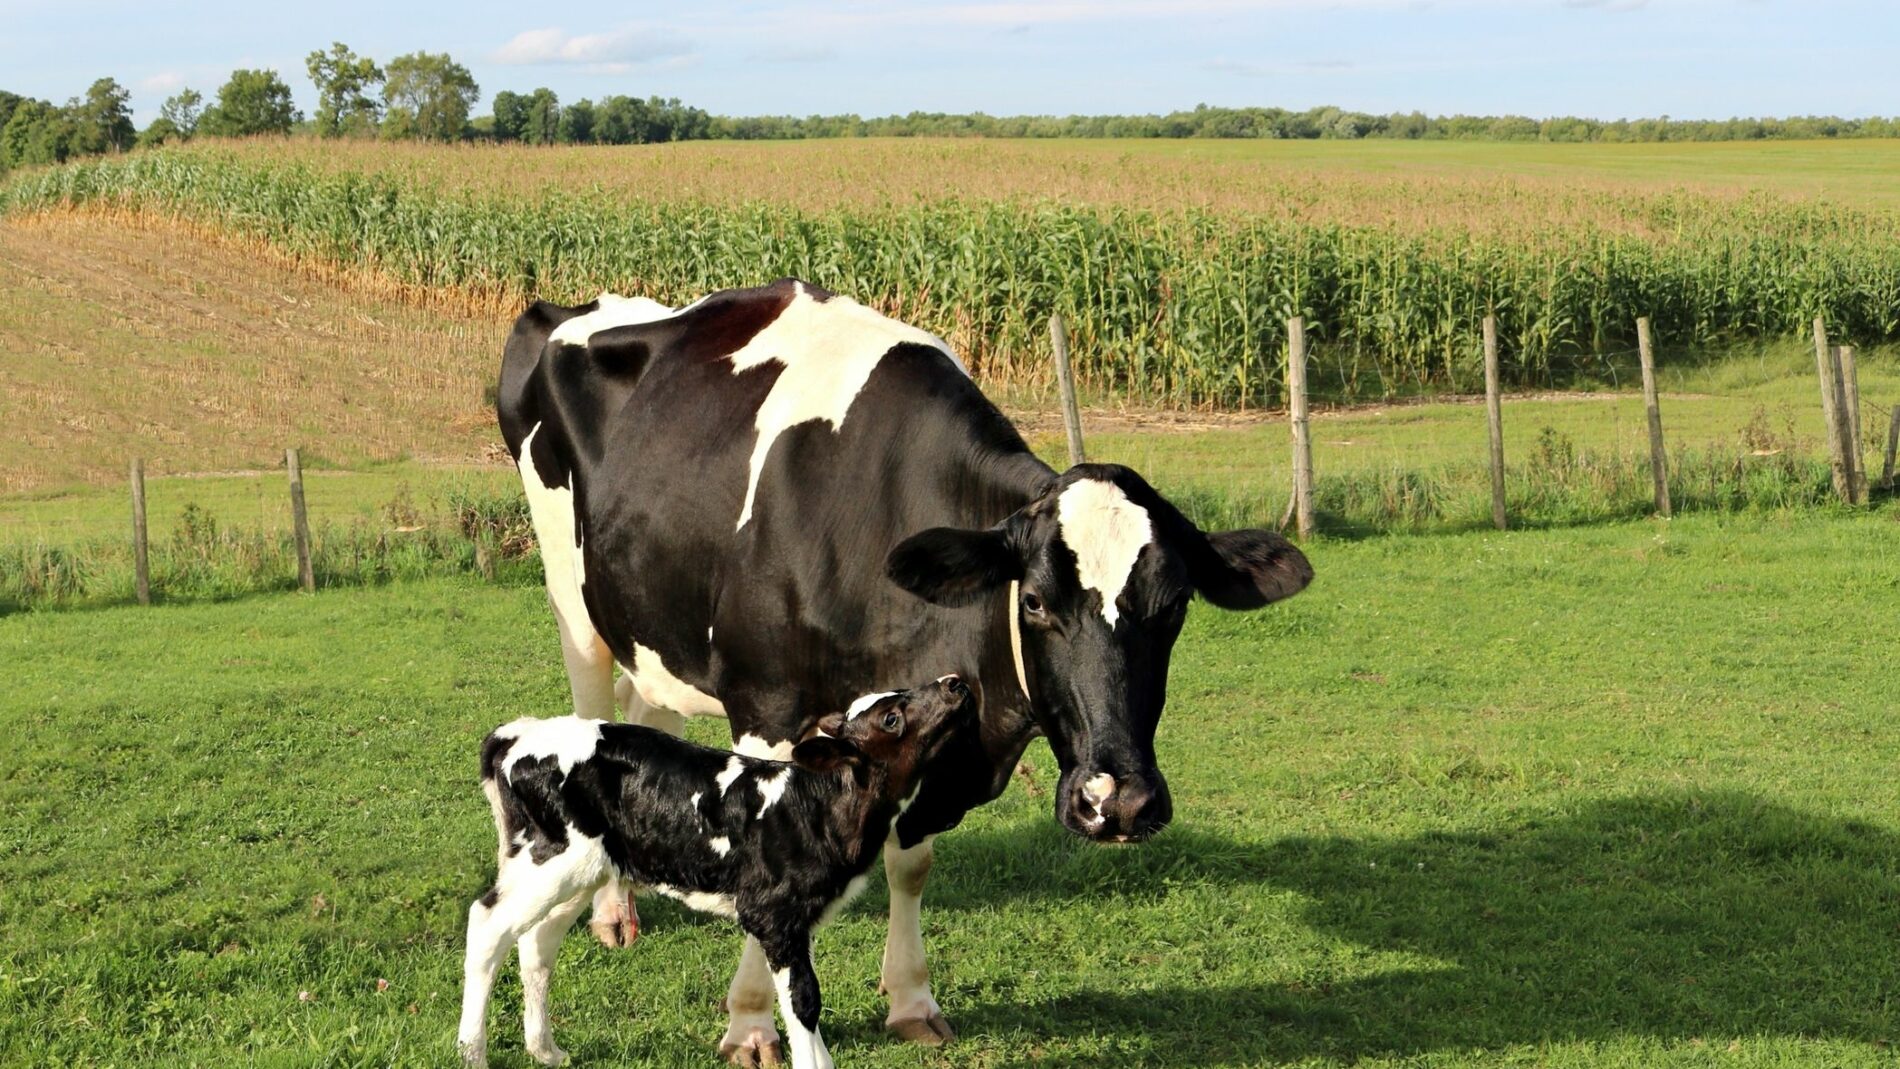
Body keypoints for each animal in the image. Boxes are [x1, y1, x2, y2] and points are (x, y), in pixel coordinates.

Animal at [458, 677, 975, 1069]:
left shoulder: (799, 919)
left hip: (580, 867)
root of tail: (514, 734)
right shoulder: (773, 913)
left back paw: (546, 1051)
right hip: (552, 857)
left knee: (536, 941)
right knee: (487, 925)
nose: (954, 683)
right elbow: (803, 1001)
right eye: (891, 719)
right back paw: (472, 1054)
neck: (817, 803)